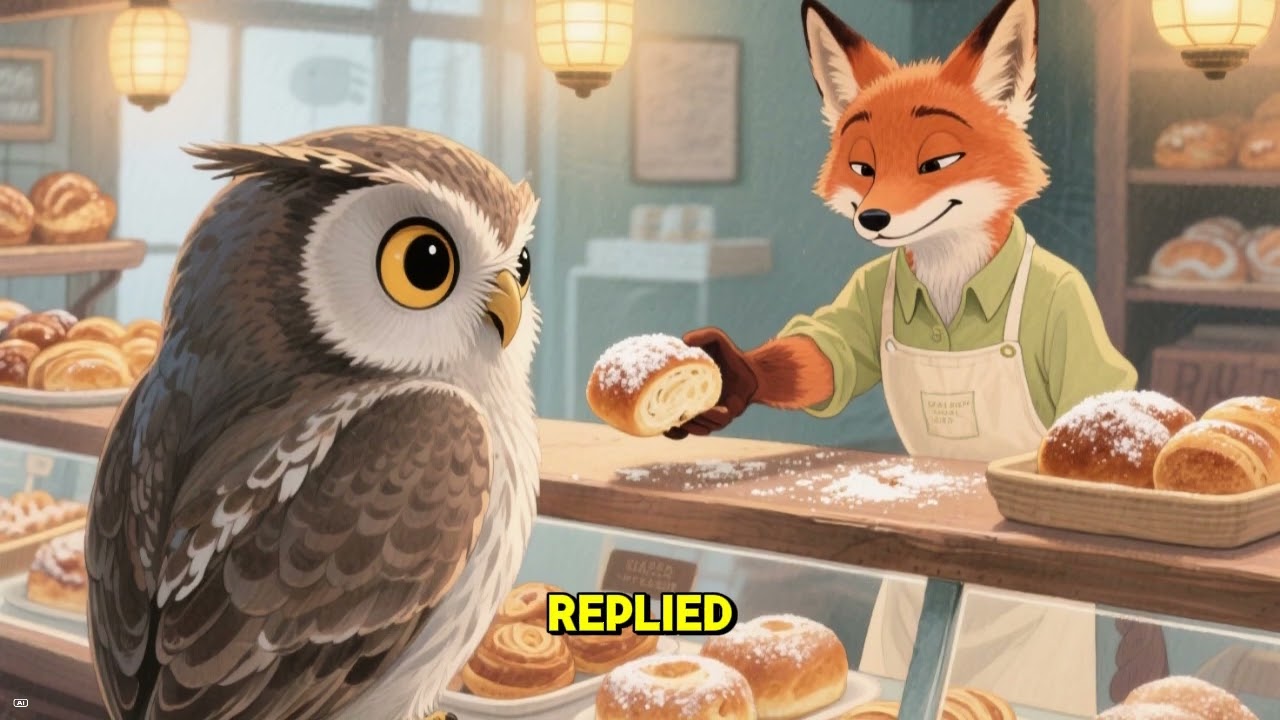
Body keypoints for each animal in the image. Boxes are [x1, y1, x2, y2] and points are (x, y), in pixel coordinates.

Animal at [667, 0, 1135, 445]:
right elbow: (829, 357)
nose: (872, 218)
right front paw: (733, 371)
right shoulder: (865, 289)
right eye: (863, 168)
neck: (950, 278)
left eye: (937, 162)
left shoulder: (1067, 300)